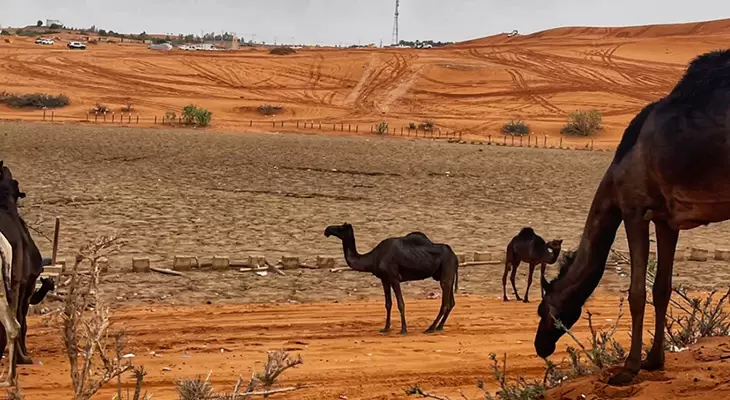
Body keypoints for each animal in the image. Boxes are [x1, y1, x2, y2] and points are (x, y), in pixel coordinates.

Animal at [322, 223, 456, 332]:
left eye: (340, 228)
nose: (327, 230)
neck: (373, 258)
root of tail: (454, 256)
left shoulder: (393, 277)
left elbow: (401, 303)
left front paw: (403, 329)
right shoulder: (384, 279)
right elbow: (388, 303)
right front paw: (386, 328)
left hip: (446, 271)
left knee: (445, 303)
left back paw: (430, 328)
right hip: (446, 276)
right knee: (451, 302)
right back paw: (439, 327)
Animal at [532, 48, 728, 386]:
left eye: (544, 309)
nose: (539, 346)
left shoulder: (633, 209)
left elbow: (637, 293)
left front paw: (629, 368)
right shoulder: (666, 219)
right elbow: (661, 288)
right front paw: (654, 361)